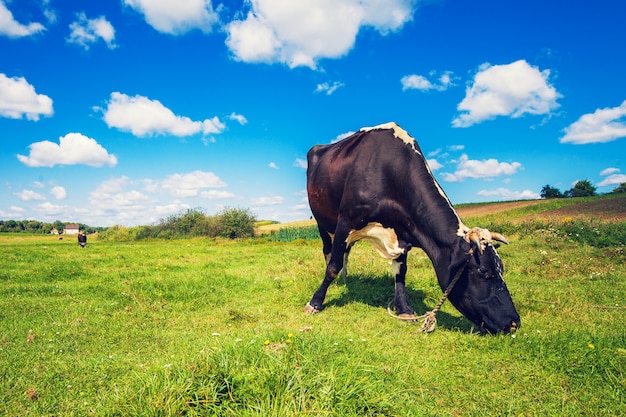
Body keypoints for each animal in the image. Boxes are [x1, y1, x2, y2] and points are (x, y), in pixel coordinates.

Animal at [304, 122, 520, 334]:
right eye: (484, 272)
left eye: (501, 269)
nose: (513, 323)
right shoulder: (346, 222)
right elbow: (333, 266)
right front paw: (315, 303)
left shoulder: (402, 230)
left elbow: (400, 271)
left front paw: (404, 309)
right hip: (323, 222)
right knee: (329, 252)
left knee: (346, 253)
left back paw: (344, 280)